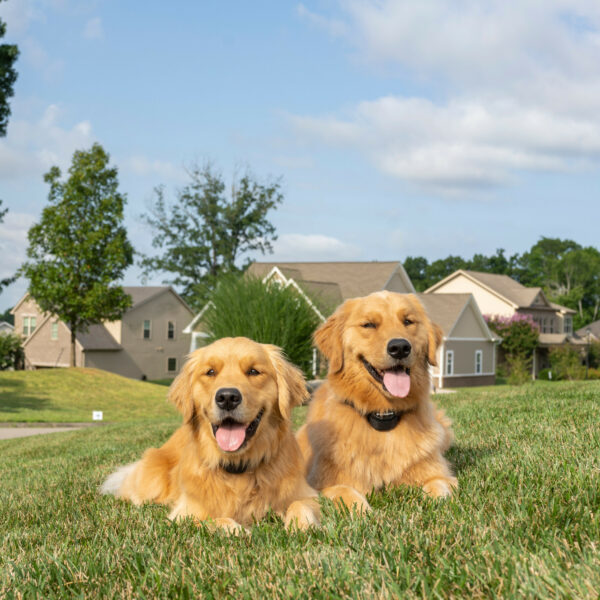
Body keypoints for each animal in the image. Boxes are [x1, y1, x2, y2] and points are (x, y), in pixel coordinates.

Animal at [100, 338, 322, 528]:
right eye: (210, 372)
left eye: (253, 371)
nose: (227, 397)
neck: (237, 465)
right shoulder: (184, 513)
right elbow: (211, 520)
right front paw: (236, 529)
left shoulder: (306, 494)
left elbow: (300, 504)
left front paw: (302, 525)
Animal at [296, 290, 460, 502]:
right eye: (369, 324)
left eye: (408, 321)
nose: (400, 347)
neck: (384, 413)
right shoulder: (321, 485)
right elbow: (345, 492)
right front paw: (361, 507)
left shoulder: (439, 473)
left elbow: (437, 486)